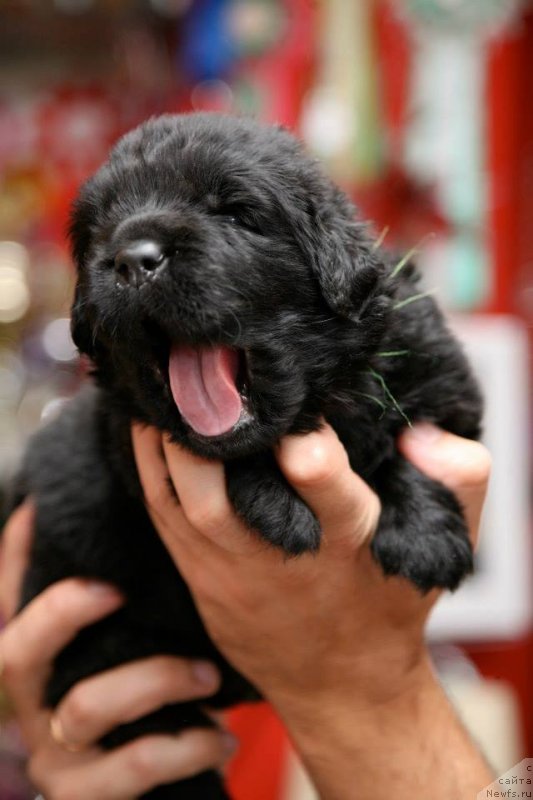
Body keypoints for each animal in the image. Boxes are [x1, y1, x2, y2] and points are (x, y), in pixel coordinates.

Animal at [8, 114, 482, 800]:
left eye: (233, 211)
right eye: (98, 229)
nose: (131, 259)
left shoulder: (444, 379)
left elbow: (414, 435)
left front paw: (425, 538)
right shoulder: (126, 438)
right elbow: (214, 449)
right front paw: (278, 507)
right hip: (104, 662)